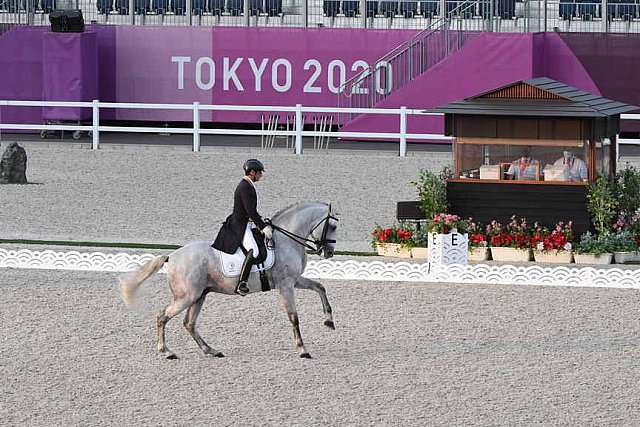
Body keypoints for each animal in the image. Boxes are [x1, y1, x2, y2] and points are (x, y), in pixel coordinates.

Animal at [120, 202, 340, 360]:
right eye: (333, 226)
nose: (329, 252)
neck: (286, 240)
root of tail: (172, 257)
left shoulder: (294, 280)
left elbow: (320, 287)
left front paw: (328, 321)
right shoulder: (286, 285)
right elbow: (294, 317)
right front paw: (302, 349)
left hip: (199, 295)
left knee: (189, 323)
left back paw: (211, 350)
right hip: (187, 296)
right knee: (162, 317)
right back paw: (166, 352)